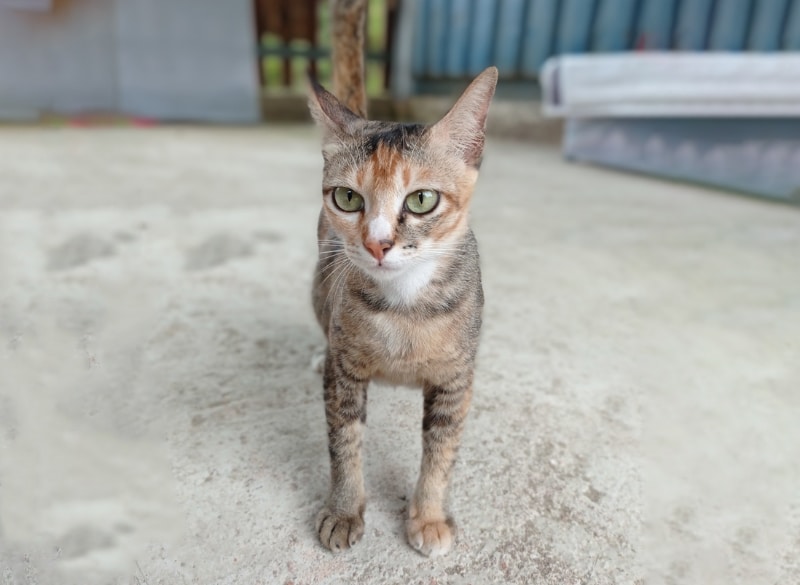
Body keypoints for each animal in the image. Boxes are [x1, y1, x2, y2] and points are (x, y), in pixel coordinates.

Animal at [306, 0, 494, 556]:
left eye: (422, 199)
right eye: (347, 197)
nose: (376, 243)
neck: (404, 307)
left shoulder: (456, 380)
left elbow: (441, 452)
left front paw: (428, 517)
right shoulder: (345, 374)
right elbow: (344, 443)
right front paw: (344, 512)